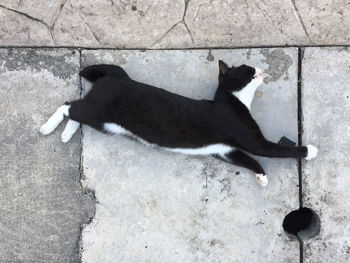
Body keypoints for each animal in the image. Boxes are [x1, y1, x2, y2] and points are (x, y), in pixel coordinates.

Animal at [39, 60, 318, 188]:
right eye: (246, 69)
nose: (258, 69)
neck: (233, 100)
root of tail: (119, 77)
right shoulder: (251, 139)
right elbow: (275, 149)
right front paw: (310, 150)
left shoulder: (225, 150)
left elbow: (247, 160)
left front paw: (260, 175)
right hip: (99, 114)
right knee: (68, 106)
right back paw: (47, 128)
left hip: (104, 123)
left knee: (76, 111)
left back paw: (66, 134)